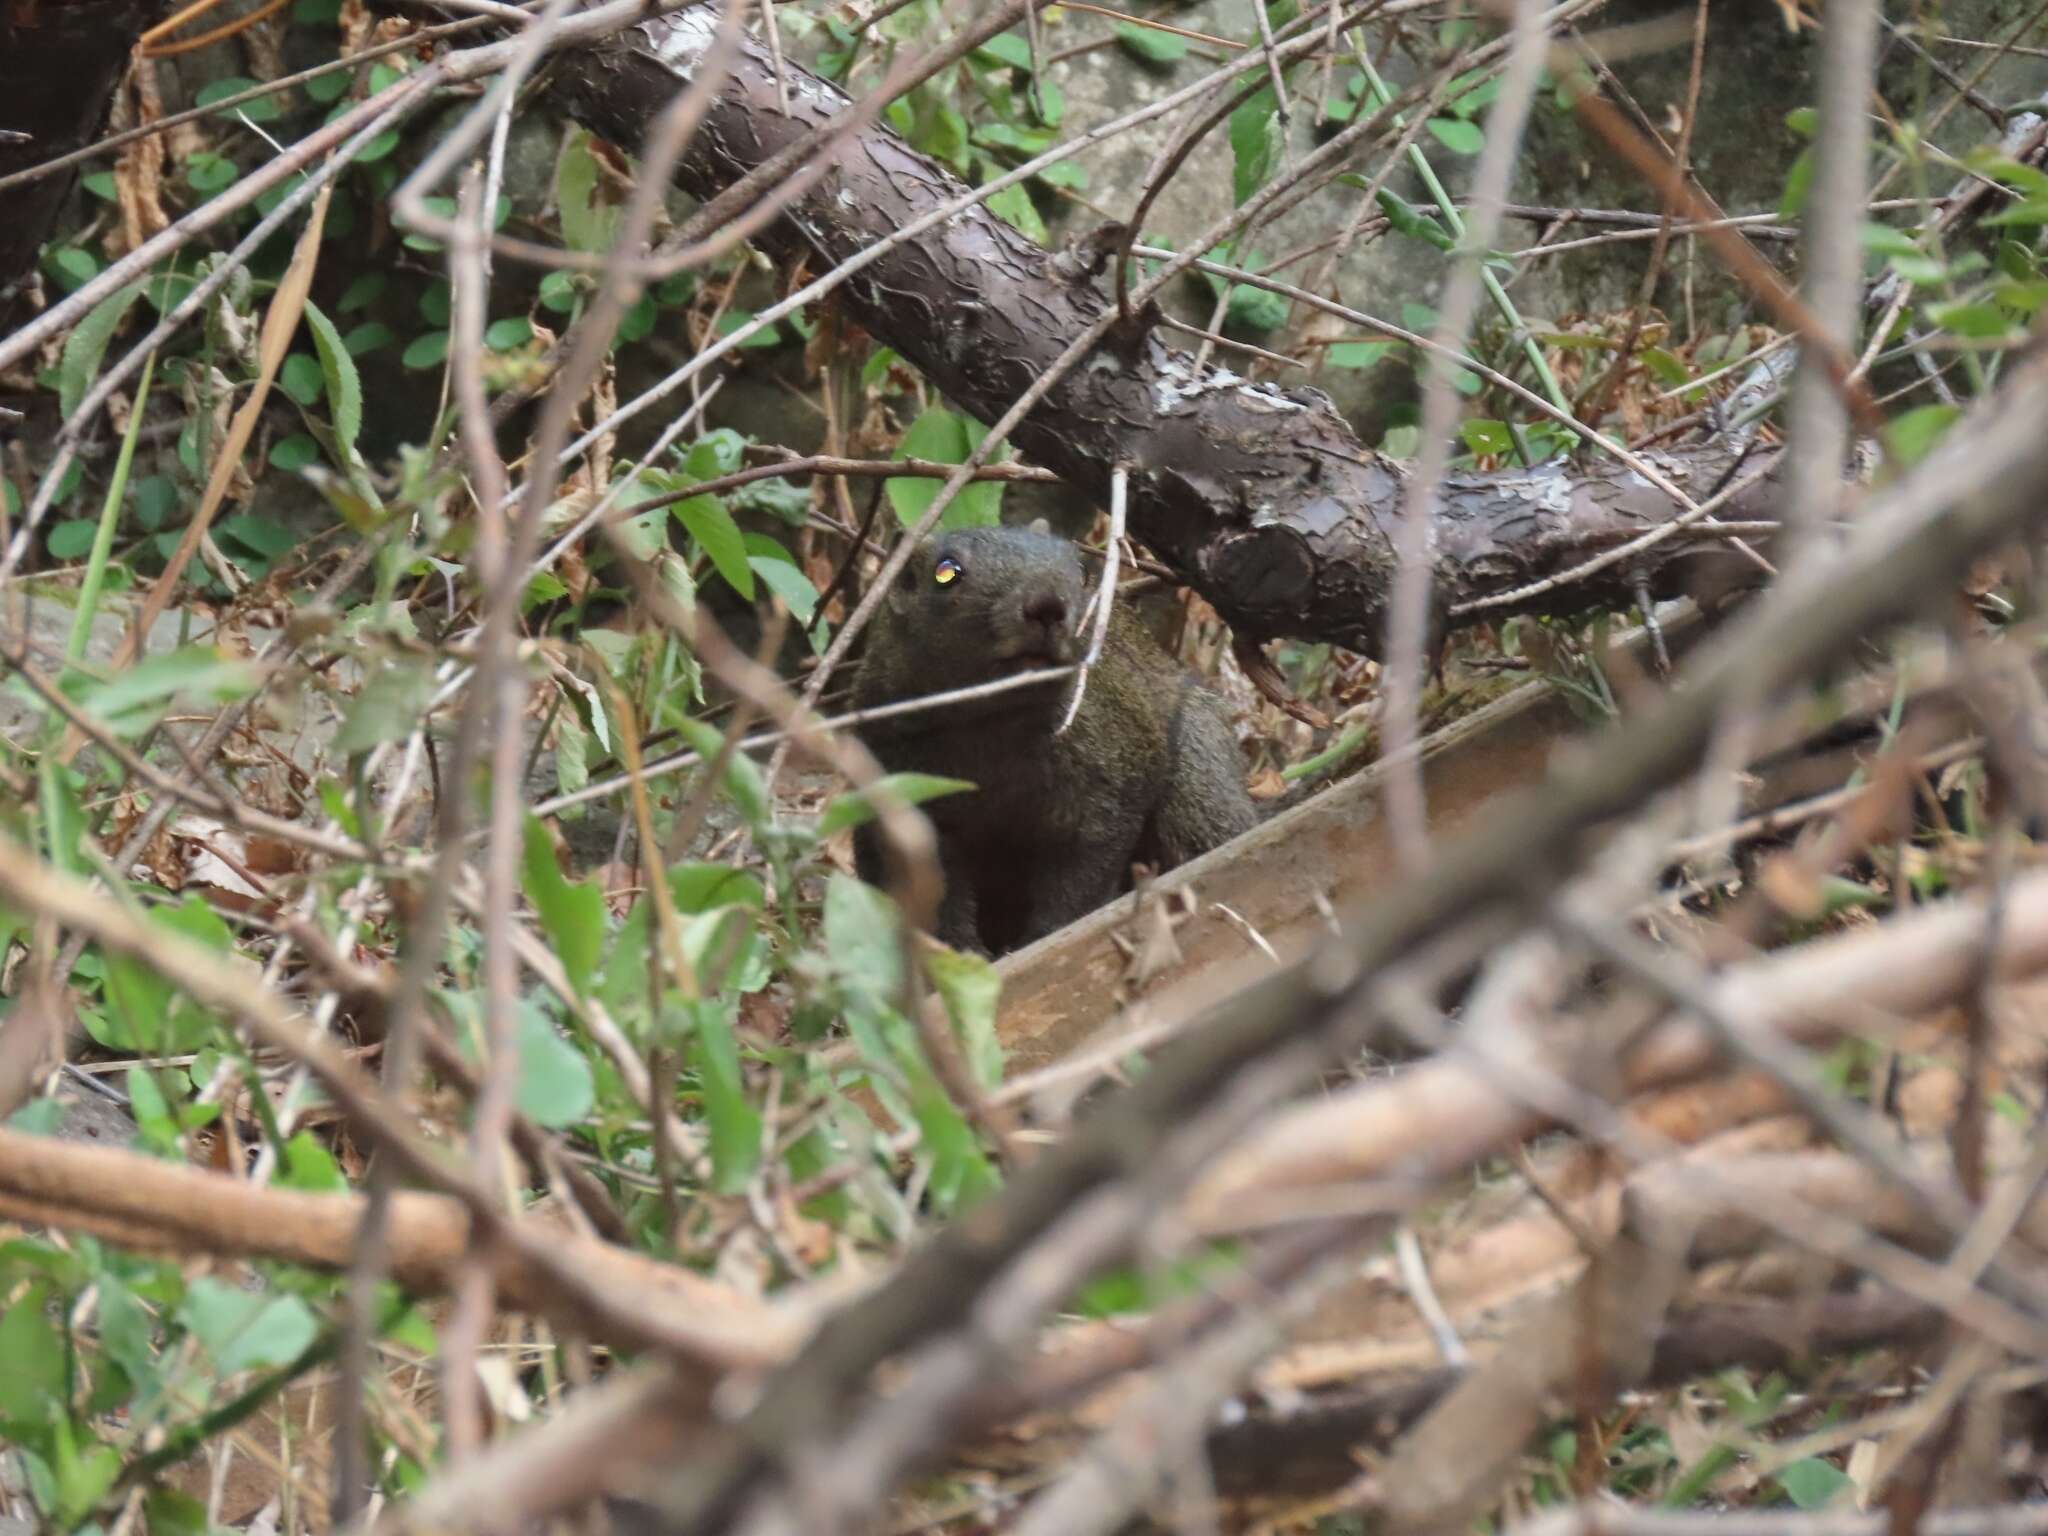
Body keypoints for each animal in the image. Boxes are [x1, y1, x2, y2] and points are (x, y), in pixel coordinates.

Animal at [847, 528, 1261, 962]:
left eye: (1083, 572)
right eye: (946, 571)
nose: (1047, 604)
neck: (993, 724)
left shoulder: (1117, 767)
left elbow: (1083, 873)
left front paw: (1046, 936)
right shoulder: (901, 778)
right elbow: (937, 887)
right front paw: (963, 951)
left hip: (1198, 770)